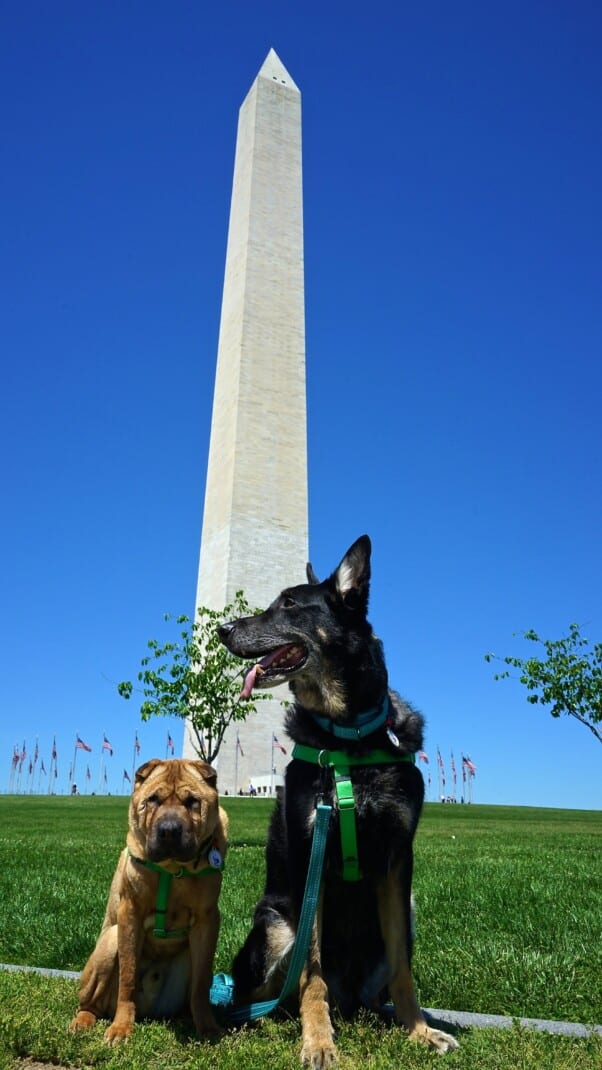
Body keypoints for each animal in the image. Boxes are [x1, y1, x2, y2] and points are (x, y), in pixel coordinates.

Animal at [70, 761, 228, 1044]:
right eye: (153, 800)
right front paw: (121, 1028)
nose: (169, 830)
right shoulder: (129, 914)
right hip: (109, 942)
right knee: (89, 1004)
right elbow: (128, 977)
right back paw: (83, 1021)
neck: (173, 870)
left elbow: (201, 985)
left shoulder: (207, 920)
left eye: (192, 801)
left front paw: (208, 1027)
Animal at [219, 535, 459, 1061]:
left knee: (368, 992)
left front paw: (419, 1029)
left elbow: (403, 967)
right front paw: (318, 1039)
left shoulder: (397, 863)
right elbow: (311, 973)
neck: (347, 739)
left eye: (289, 605)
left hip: (405, 914)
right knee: (259, 995)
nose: (223, 628)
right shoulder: (311, 856)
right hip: (276, 925)